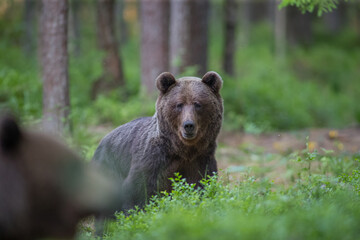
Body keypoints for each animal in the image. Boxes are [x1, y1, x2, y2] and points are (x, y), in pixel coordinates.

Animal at [93, 71, 222, 210]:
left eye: (197, 104)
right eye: (179, 104)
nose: (188, 125)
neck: (181, 150)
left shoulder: (201, 159)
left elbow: (202, 185)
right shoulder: (153, 160)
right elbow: (138, 190)